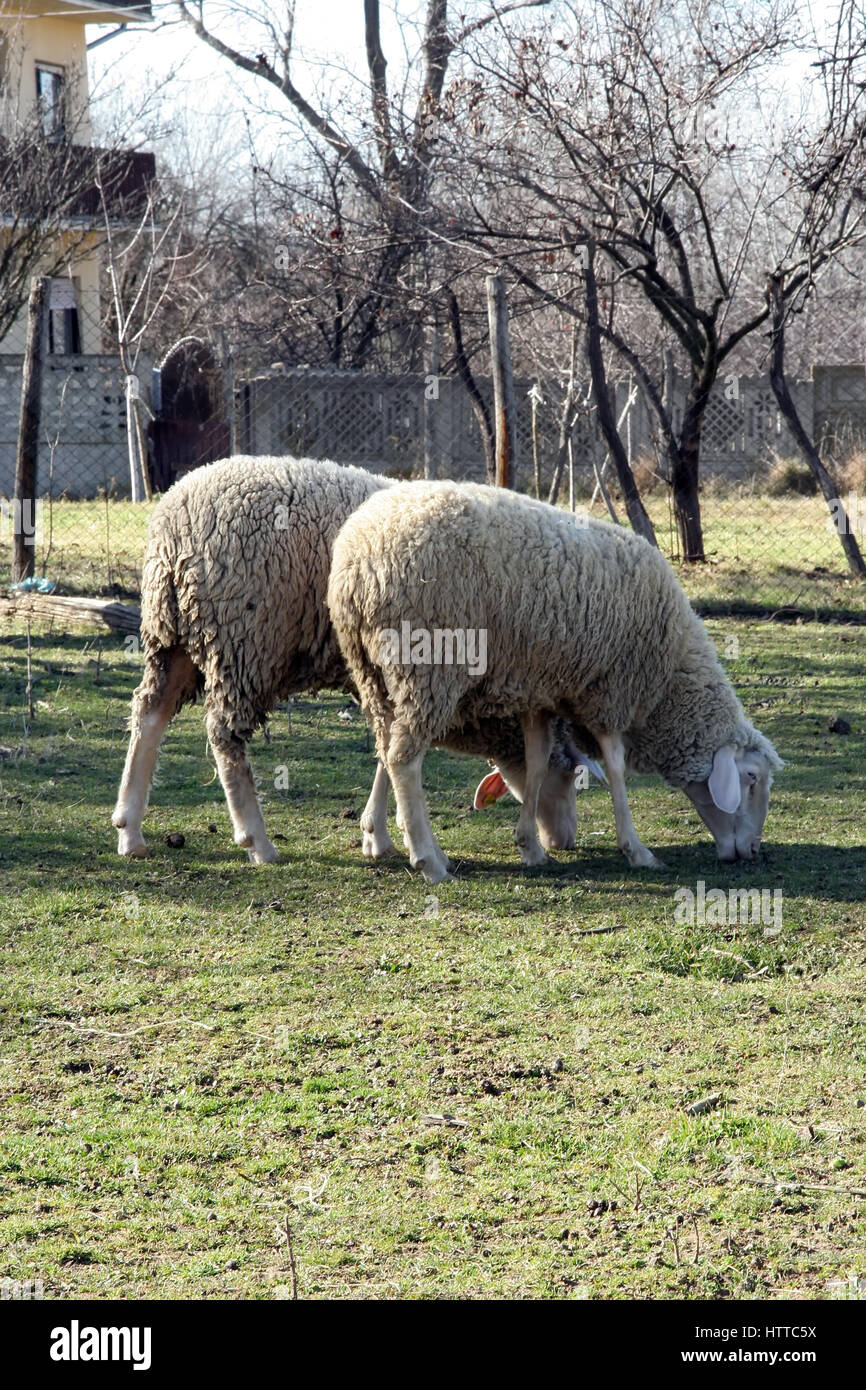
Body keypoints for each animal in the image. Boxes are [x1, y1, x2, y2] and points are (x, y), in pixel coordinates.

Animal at [112, 456, 592, 865]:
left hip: (170, 635)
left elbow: (384, 748)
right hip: (244, 642)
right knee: (223, 734)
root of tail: (174, 522)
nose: (565, 842)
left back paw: (130, 830)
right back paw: (258, 841)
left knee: (149, 712)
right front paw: (382, 836)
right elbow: (391, 752)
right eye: (570, 774)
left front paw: (376, 834)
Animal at [327, 480, 783, 884]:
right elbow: (615, 766)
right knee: (404, 760)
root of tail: (356, 557)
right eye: (751, 778)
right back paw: (428, 861)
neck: (669, 679)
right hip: (427, 665)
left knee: (385, 749)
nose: (752, 851)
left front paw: (530, 846)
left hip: (374, 675)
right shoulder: (609, 692)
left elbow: (537, 761)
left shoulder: (542, 693)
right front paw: (636, 850)